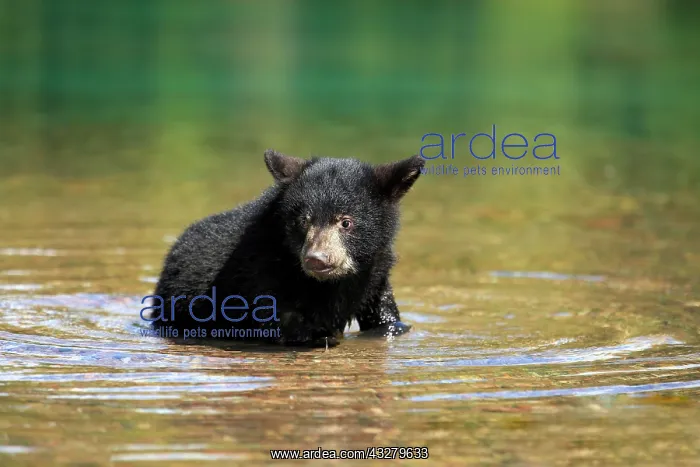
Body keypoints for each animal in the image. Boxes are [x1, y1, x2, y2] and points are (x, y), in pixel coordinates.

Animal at [143, 149, 424, 347]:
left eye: (346, 222)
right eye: (303, 220)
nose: (316, 259)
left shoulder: (375, 271)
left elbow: (385, 318)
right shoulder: (260, 271)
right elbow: (280, 323)